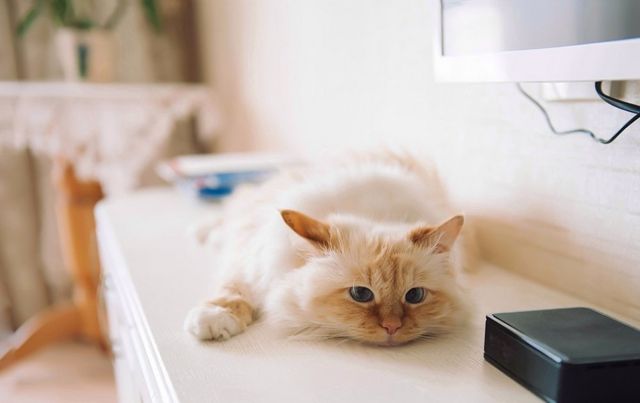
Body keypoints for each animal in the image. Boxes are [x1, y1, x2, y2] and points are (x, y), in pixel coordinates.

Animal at [184, 151, 472, 346]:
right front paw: (215, 318)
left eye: (414, 296)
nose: (392, 327)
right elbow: (234, 290)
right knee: (228, 214)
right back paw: (204, 232)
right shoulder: (250, 257)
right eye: (361, 294)